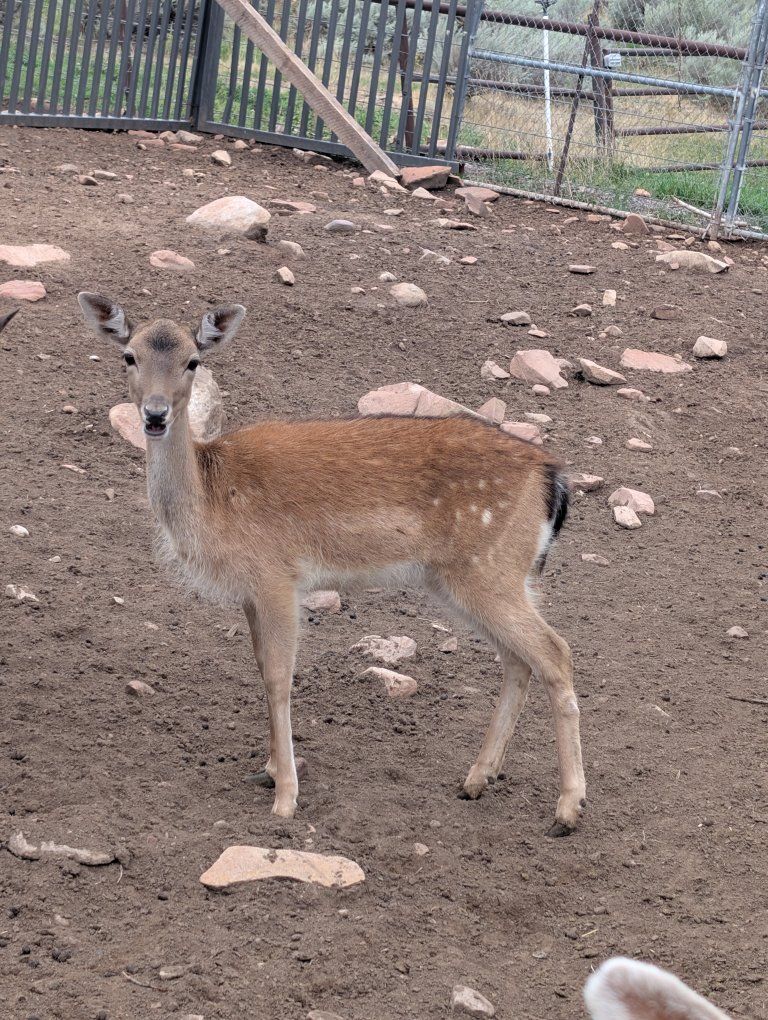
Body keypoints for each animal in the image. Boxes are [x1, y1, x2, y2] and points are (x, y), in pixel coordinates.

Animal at [78, 292, 586, 836]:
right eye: (128, 355)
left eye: (193, 361)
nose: (154, 415)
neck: (212, 500)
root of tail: (553, 478)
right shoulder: (251, 591)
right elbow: (261, 666)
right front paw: (268, 770)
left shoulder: (276, 574)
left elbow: (279, 676)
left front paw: (286, 798)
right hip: (475, 577)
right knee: (518, 659)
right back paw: (476, 779)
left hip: (490, 568)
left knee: (555, 651)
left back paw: (568, 808)